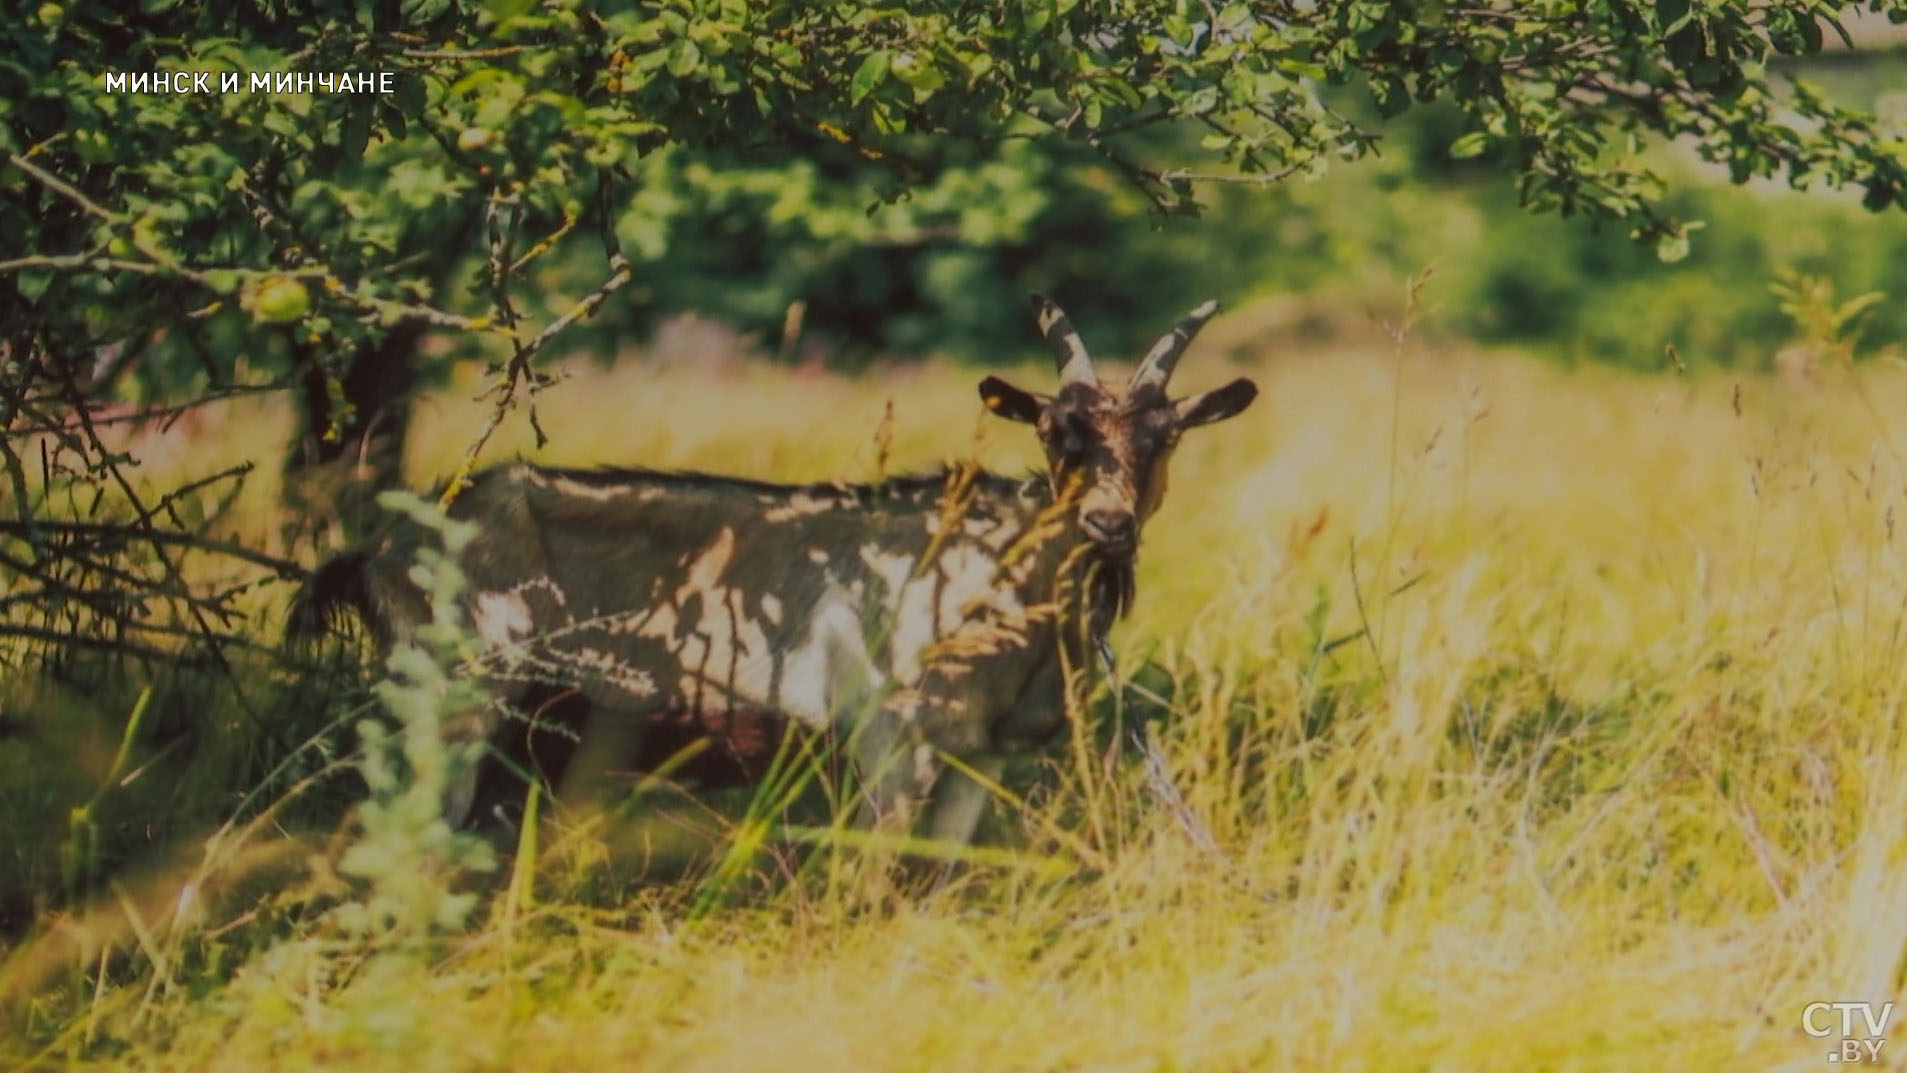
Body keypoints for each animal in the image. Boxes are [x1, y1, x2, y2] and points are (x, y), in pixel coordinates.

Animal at [289, 293, 1258, 850]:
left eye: (1165, 435)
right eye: (1058, 432)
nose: (1108, 521)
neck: (996, 573)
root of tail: (379, 546)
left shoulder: (975, 757)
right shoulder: (888, 736)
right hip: (455, 694)